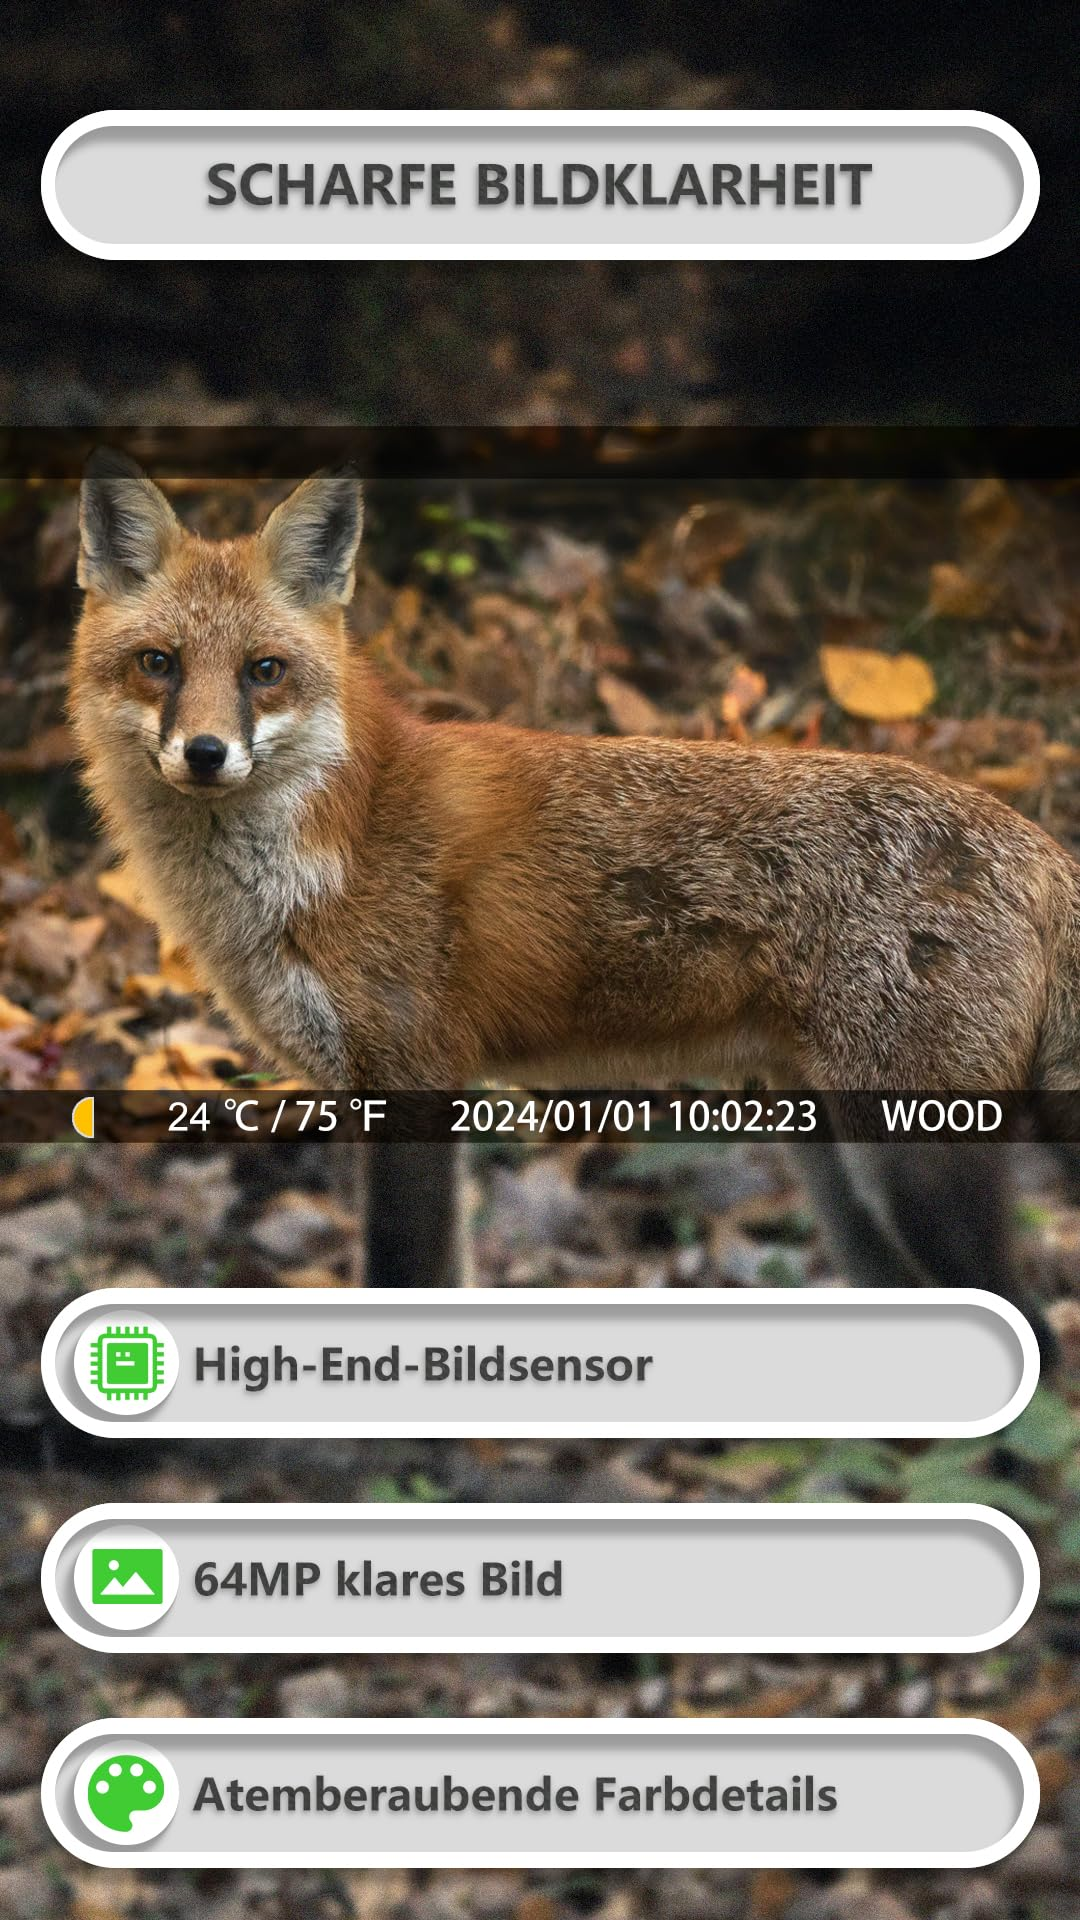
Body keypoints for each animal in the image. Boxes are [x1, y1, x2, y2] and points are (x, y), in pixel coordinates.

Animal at [71, 452, 1080, 1098]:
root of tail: (1040, 843)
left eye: (264, 672)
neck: (334, 845)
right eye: (159, 664)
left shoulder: (414, 1067)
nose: (206, 753)